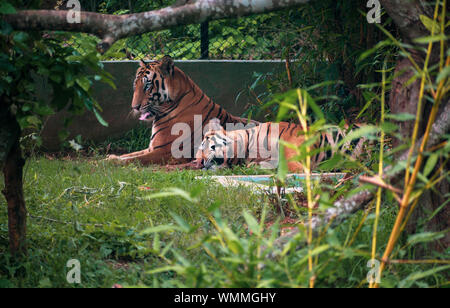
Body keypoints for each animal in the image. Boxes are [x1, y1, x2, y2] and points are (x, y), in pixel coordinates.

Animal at [107, 55, 258, 166]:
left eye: (147, 85)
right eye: (135, 85)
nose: (134, 107)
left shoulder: (166, 151)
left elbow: (135, 159)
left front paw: (109, 162)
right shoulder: (152, 147)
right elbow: (129, 154)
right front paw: (110, 157)